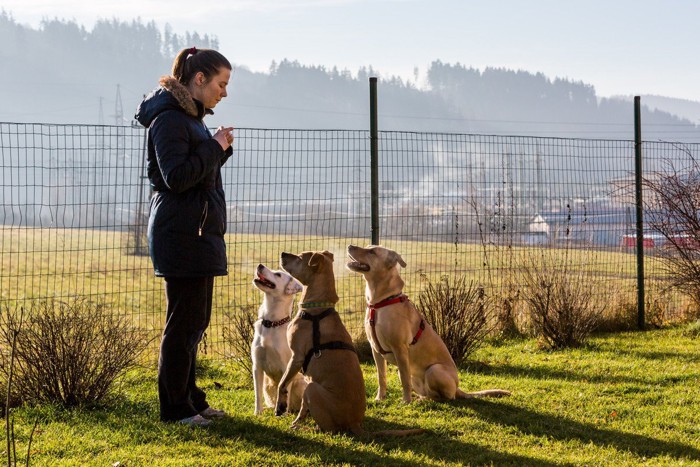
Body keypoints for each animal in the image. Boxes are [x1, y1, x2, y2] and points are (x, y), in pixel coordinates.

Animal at [252, 266, 306, 414]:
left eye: (278, 274)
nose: (260, 265)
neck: (271, 323)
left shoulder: (285, 366)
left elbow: (284, 390)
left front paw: (283, 414)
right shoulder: (257, 366)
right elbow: (257, 394)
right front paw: (257, 413)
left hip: (301, 381)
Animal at [348, 245, 512, 402]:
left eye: (372, 252)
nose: (349, 246)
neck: (380, 303)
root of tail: (457, 388)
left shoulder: (400, 349)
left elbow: (404, 381)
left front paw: (406, 401)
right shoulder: (376, 350)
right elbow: (381, 378)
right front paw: (379, 398)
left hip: (434, 370)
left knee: (444, 397)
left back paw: (422, 400)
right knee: (429, 393)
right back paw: (419, 398)